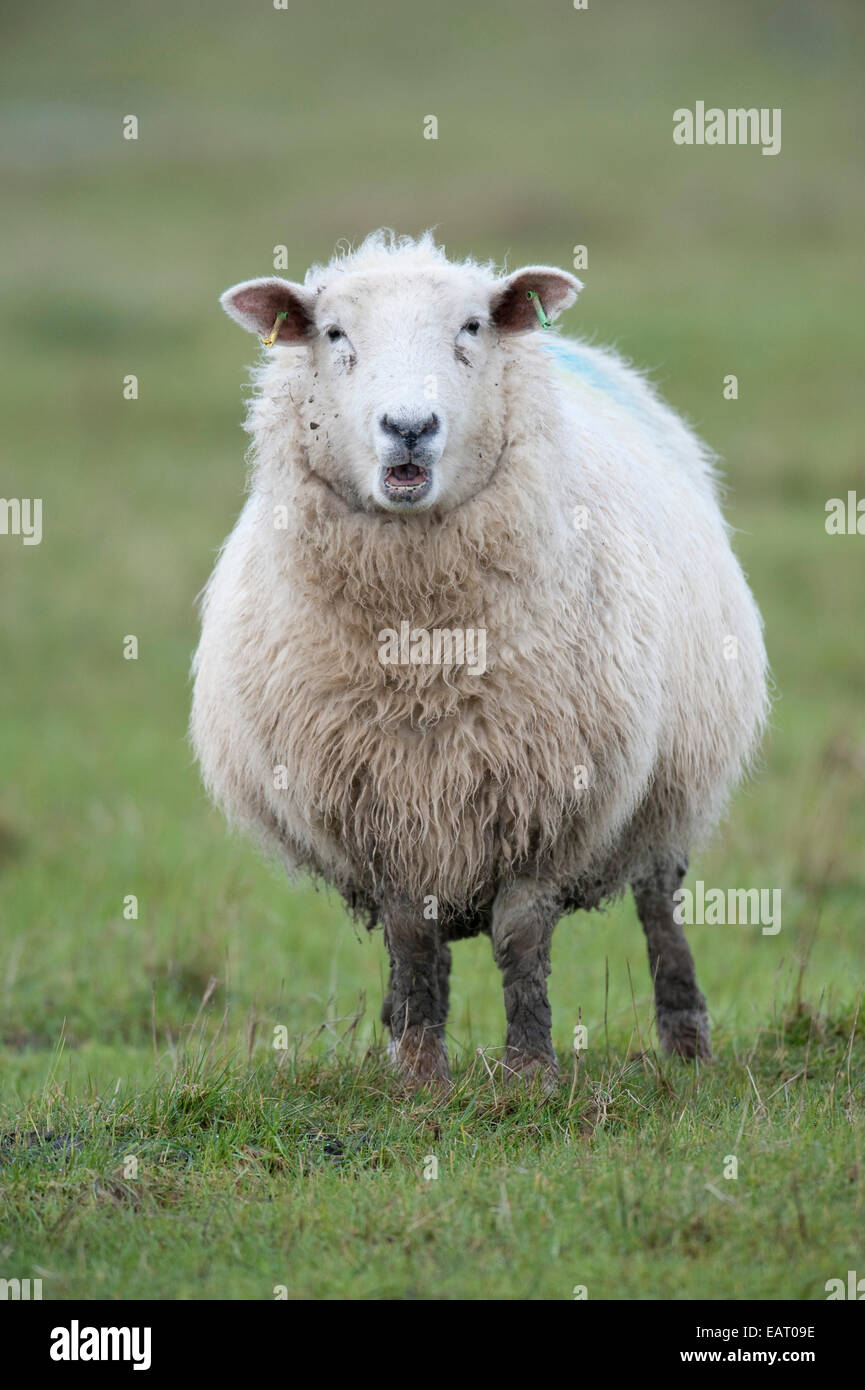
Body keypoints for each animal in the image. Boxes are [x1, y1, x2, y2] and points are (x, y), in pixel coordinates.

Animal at [191, 233, 773, 1089]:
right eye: (332, 332)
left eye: (471, 326)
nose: (408, 426)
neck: (423, 653)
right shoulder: (384, 808)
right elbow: (411, 941)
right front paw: (418, 1072)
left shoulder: (547, 793)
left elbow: (522, 936)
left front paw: (529, 1071)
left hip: (670, 787)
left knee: (658, 907)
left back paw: (686, 1044)